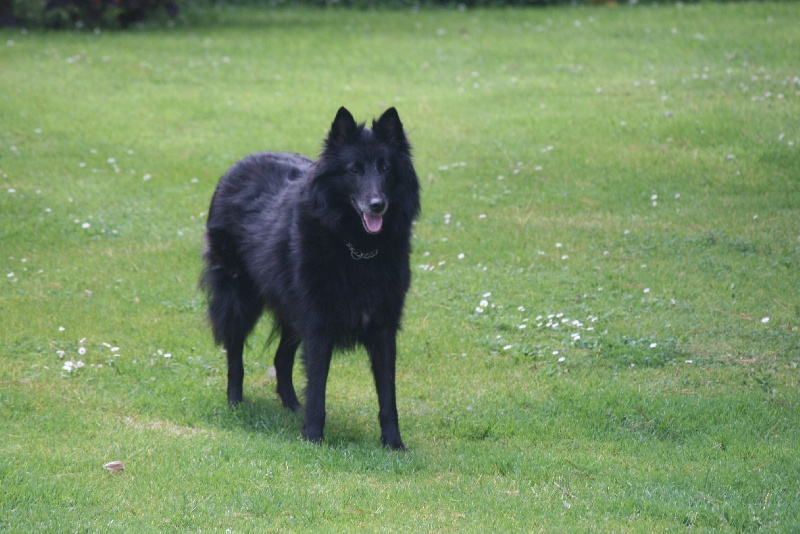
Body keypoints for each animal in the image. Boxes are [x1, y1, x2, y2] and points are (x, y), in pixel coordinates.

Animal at [202, 107, 418, 450]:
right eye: (354, 170)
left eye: (385, 167)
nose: (377, 205)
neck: (356, 248)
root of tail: (240, 164)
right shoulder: (318, 326)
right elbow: (318, 388)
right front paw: (314, 438)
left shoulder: (383, 328)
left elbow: (388, 395)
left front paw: (393, 444)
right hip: (238, 299)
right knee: (235, 355)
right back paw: (236, 403)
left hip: (291, 313)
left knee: (281, 359)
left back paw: (292, 407)